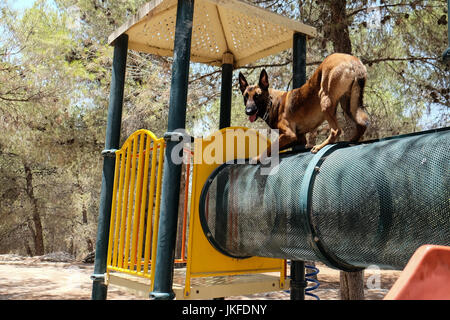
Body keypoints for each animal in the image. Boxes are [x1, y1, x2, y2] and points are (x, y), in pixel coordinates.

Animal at [239, 53, 370, 161]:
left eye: (257, 96)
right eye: (245, 97)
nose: (248, 111)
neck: (271, 103)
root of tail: (353, 60)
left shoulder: (289, 134)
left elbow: (270, 146)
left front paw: (257, 158)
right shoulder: (299, 138)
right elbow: (277, 147)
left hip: (324, 99)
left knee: (336, 130)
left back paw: (320, 146)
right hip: (348, 104)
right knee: (361, 125)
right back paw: (352, 140)